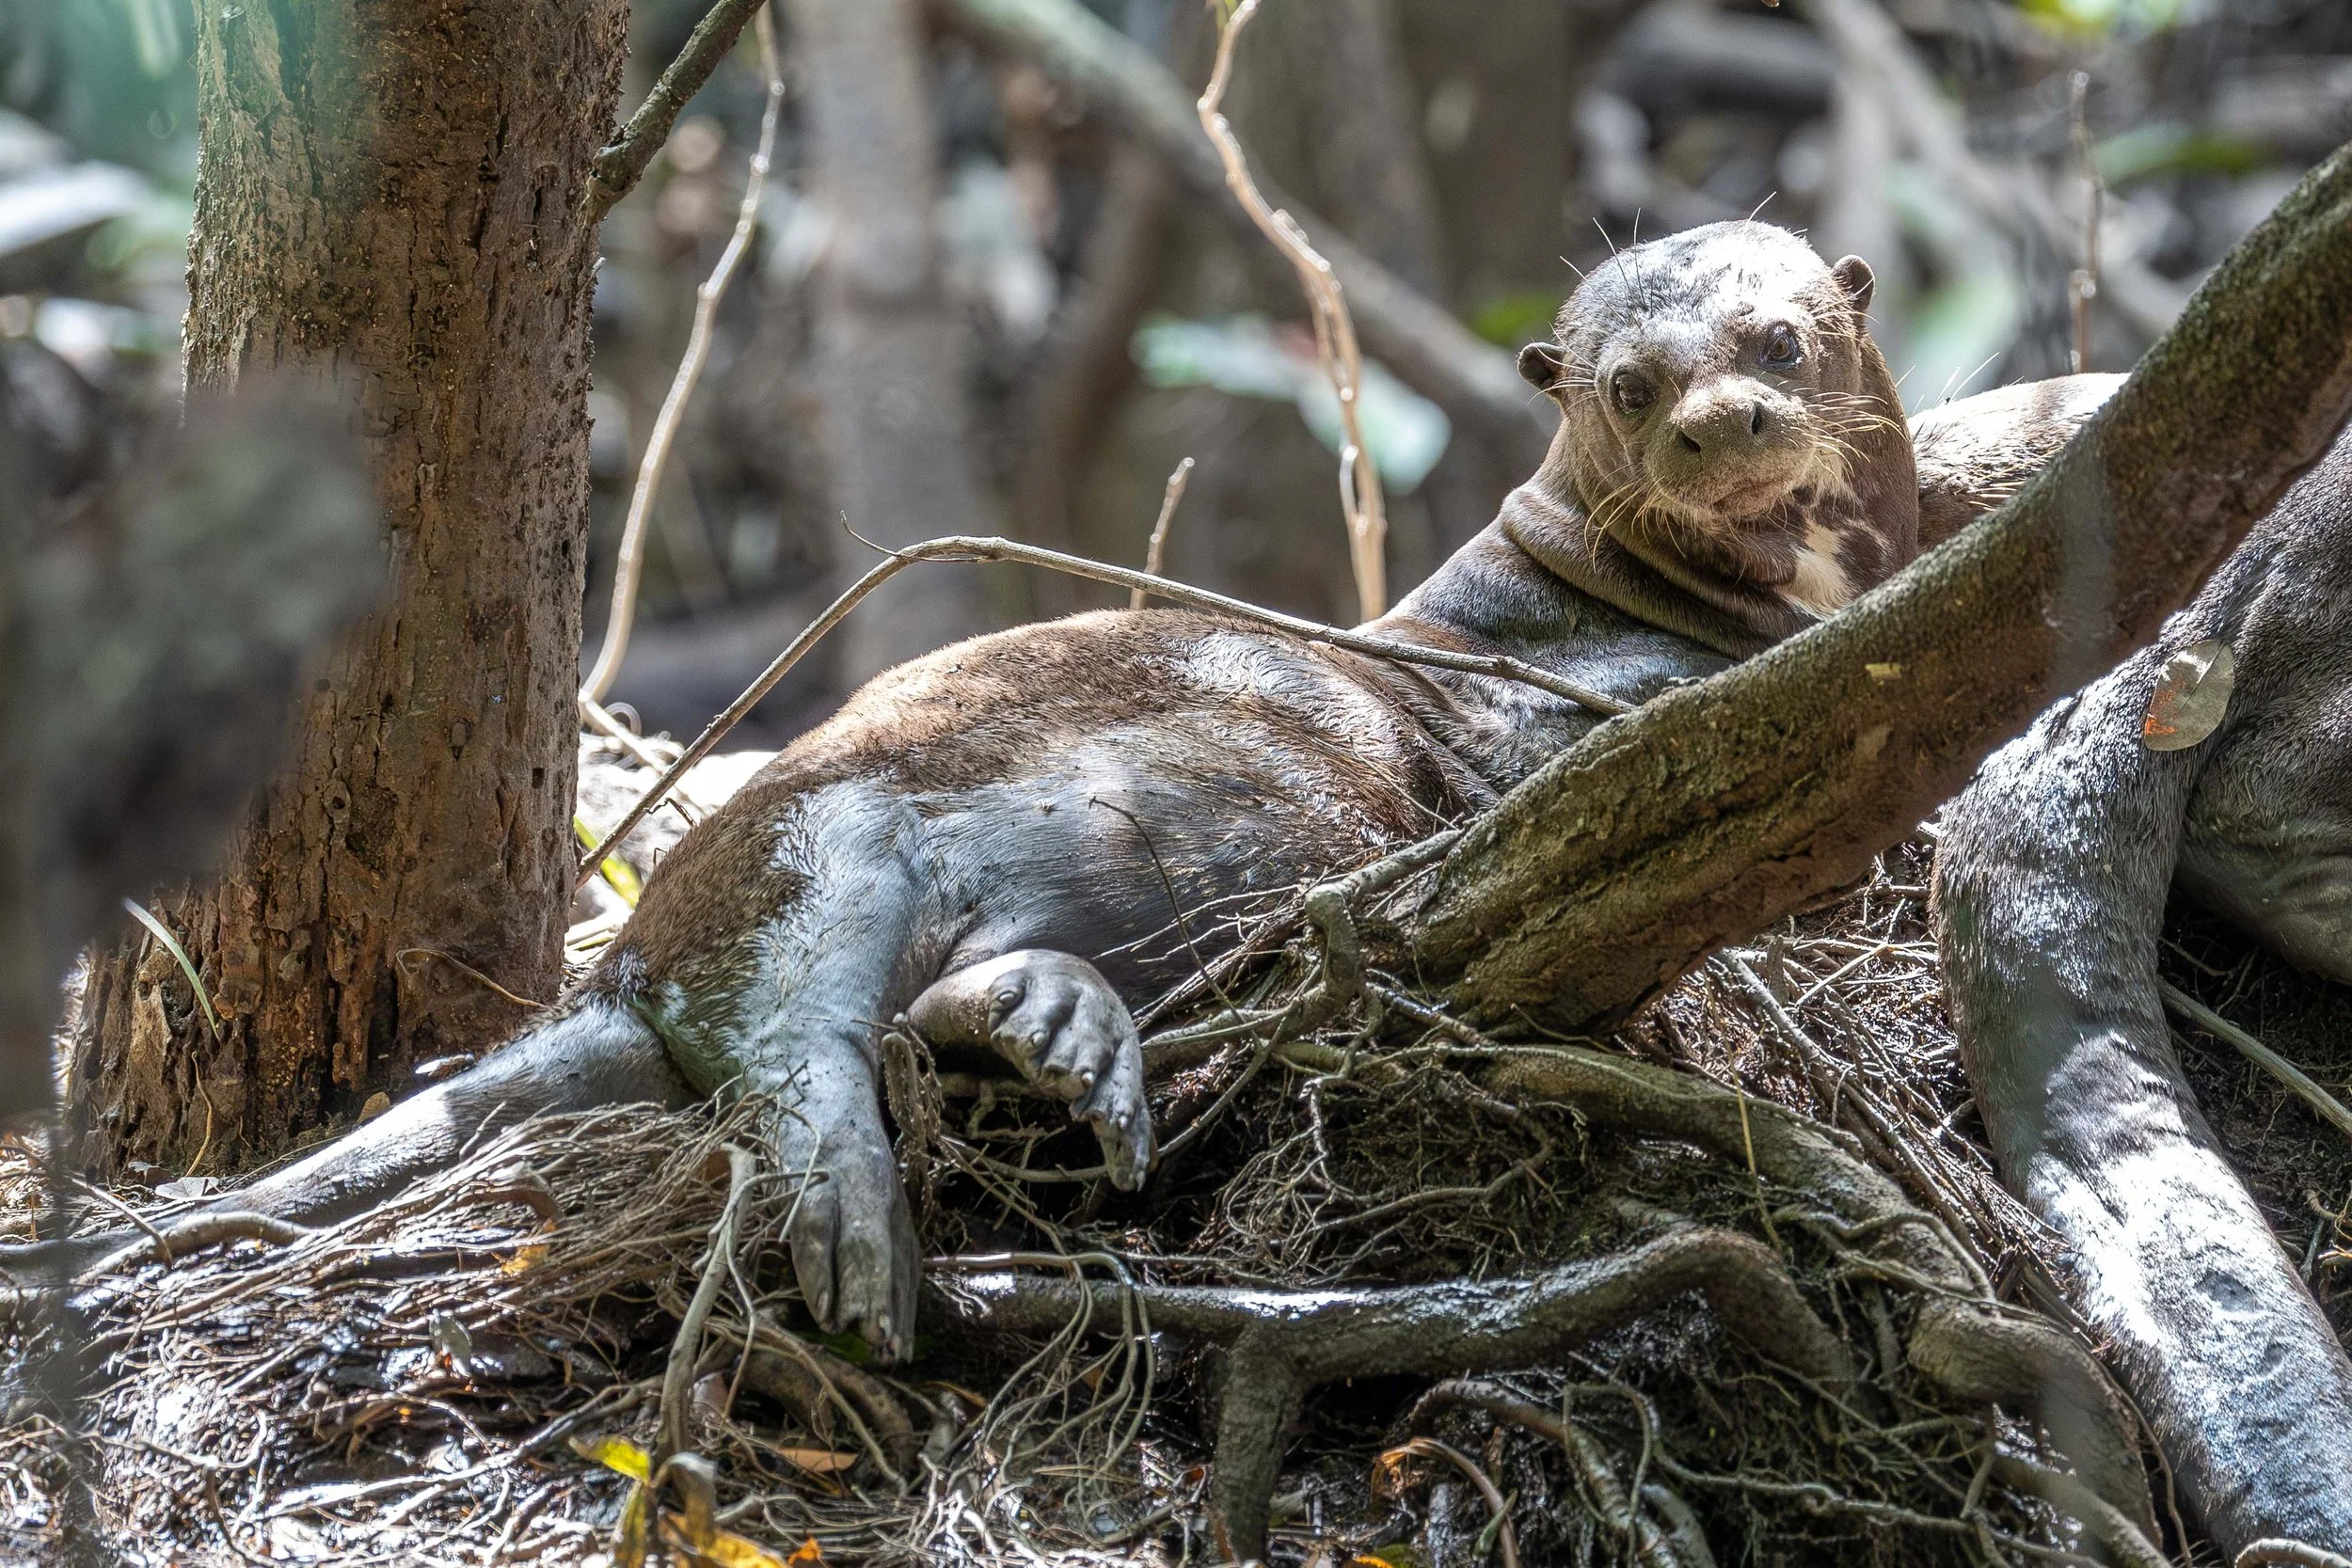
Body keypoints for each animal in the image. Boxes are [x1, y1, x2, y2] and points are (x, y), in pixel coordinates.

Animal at [37, 222, 1921, 1358]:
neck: (1601, 592)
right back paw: (875, 1240)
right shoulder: (1590, 699)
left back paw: (1051, 1031)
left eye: (1778, 336)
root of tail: (629, 960)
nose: (1719, 421)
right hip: (822, 835)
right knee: (801, 1047)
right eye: (1629, 386)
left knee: (920, 1012)